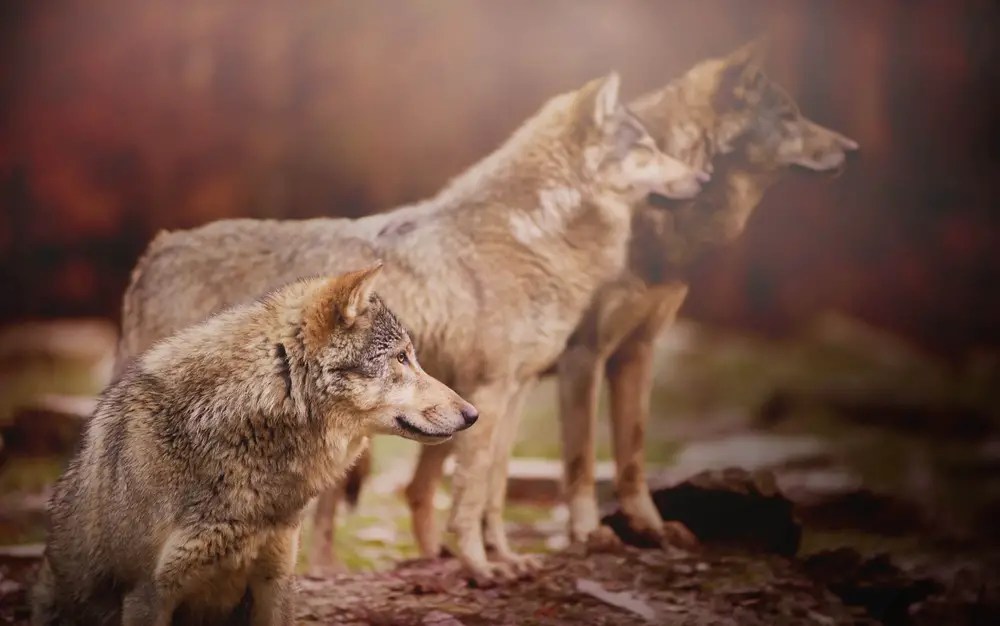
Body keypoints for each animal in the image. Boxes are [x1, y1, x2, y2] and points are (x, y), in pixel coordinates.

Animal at [115, 72, 706, 582]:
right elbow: (469, 495)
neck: (532, 237)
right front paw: (479, 568)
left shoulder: (513, 393)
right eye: (646, 149)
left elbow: (493, 490)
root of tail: (157, 249)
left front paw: (505, 558)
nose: (702, 177)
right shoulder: (492, 390)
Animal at [400, 41, 859, 556]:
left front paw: (650, 528)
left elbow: (633, 452)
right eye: (788, 116)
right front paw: (588, 533)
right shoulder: (585, 356)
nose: (852, 149)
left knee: (421, 489)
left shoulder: (639, 349)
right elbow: (580, 459)